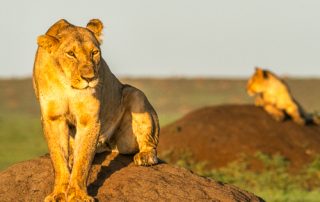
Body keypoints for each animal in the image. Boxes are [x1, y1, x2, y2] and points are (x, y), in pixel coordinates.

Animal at [32, 18, 160, 200]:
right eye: (71, 54)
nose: (89, 78)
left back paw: (146, 156)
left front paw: (78, 195)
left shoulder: (89, 118)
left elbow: (83, 160)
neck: (68, 84)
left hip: (135, 95)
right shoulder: (53, 118)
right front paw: (59, 193)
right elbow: (58, 159)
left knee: (149, 140)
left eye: (94, 53)